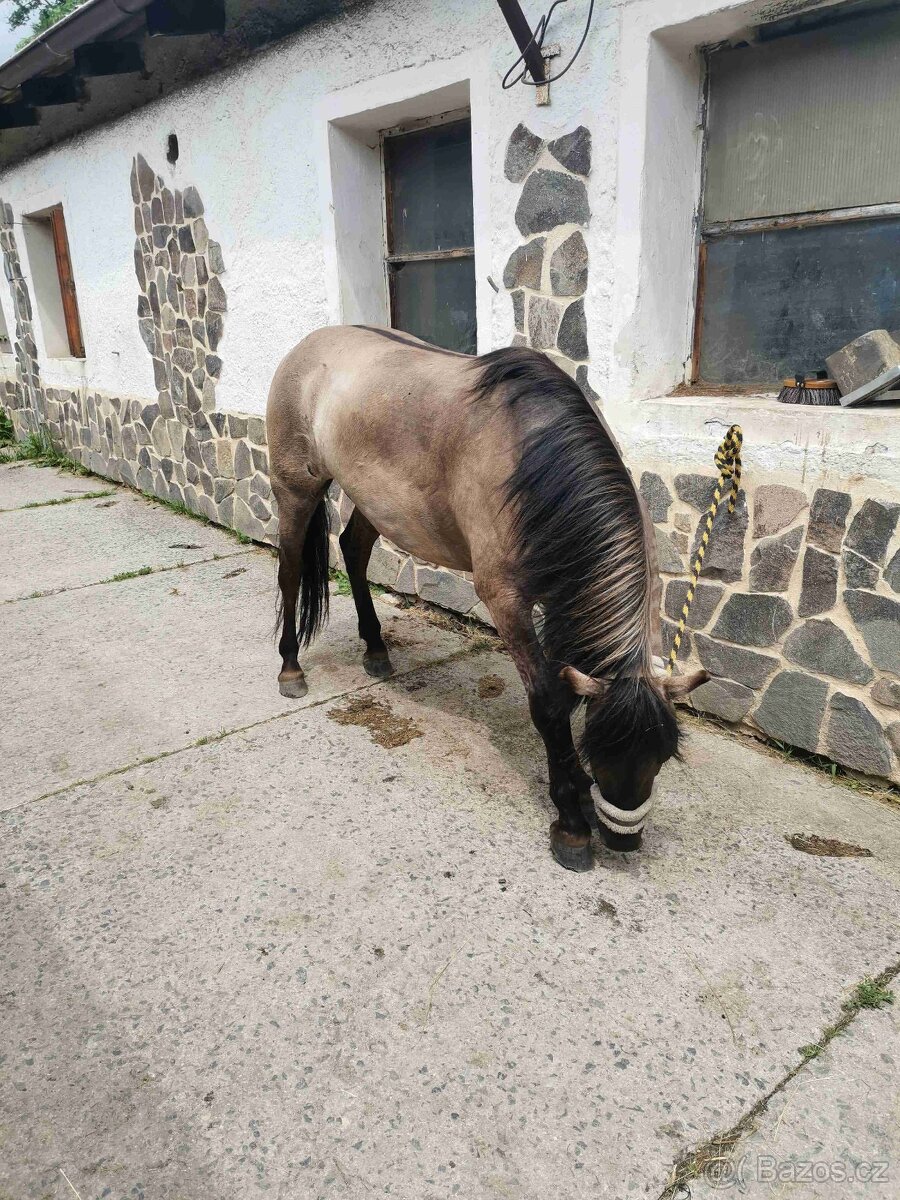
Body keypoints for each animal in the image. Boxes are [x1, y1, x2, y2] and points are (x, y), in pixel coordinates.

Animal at [266, 325, 707, 872]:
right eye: (602, 748)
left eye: (662, 755)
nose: (624, 840)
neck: (533, 462)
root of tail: (307, 346)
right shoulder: (507, 602)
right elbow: (547, 705)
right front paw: (572, 822)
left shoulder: (558, 601)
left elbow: (564, 695)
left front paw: (577, 791)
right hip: (295, 490)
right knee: (289, 572)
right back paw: (291, 668)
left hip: (376, 502)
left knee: (353, 548)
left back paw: (376, 649)